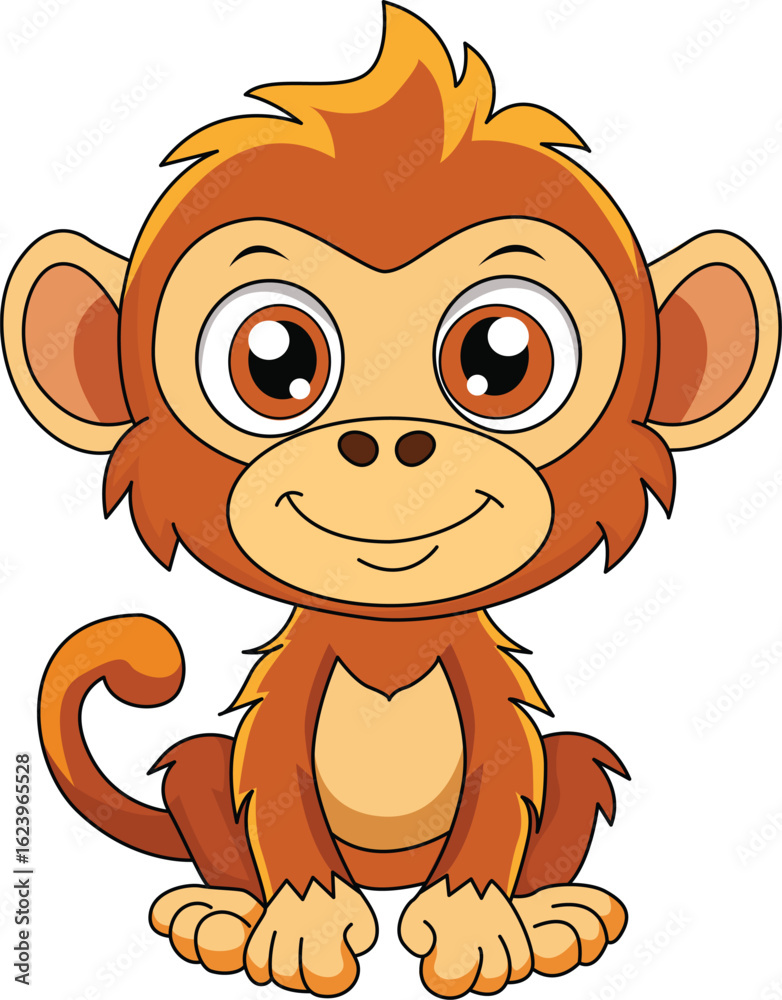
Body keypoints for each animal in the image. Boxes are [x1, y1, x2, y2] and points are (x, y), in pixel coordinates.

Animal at [2, 3, 779, 996]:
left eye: (502, 357)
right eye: (274, 361)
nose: (387, 442)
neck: (388, 635)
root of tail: (387, 875)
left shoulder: (485, 692)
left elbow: (505, 777)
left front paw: (478, 923)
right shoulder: (291, 694)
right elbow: (273, 781)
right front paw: (300, 924)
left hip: (564, 779)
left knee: (572, 764)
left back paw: (554, 917)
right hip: (201, 783)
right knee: (202, 774)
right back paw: (220, 914)